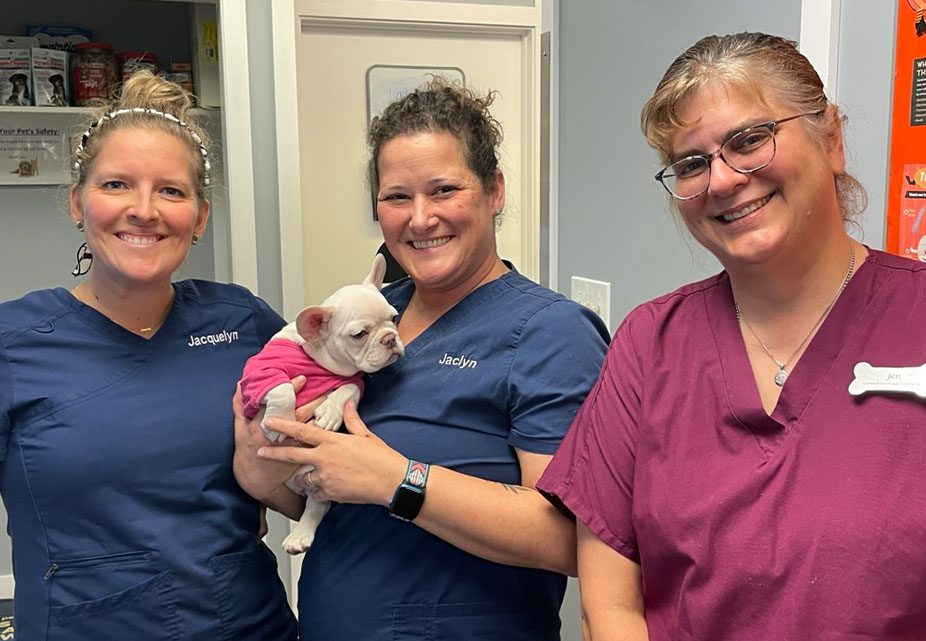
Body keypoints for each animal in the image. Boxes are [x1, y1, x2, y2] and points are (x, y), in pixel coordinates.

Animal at [241, 252, 404, 552]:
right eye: (359, 334)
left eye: (394, 318)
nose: (390, 338)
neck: (318, 358)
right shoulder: (259, 370)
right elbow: (282, 388)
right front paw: (280, 421)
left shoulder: (355, 381)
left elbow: (348, 388)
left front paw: (330, 411)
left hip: (318, 478)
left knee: (317, 506)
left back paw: (301, 535)